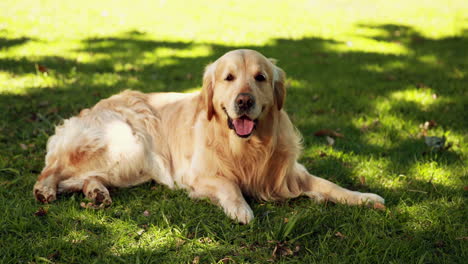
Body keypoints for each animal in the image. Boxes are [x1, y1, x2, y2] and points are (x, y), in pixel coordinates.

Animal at [33, 49, 384, 223]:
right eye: (228, 78)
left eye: (260, 77)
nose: (244, 102)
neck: (246, 145)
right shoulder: (198, 175)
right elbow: (230, 185)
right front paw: (241, 209)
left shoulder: (288, 174)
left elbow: (331, 186)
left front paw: (365, 198)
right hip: (128, 143)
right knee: (54, 170)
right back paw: (46, 190)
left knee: (83, 178)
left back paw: (97, 193)